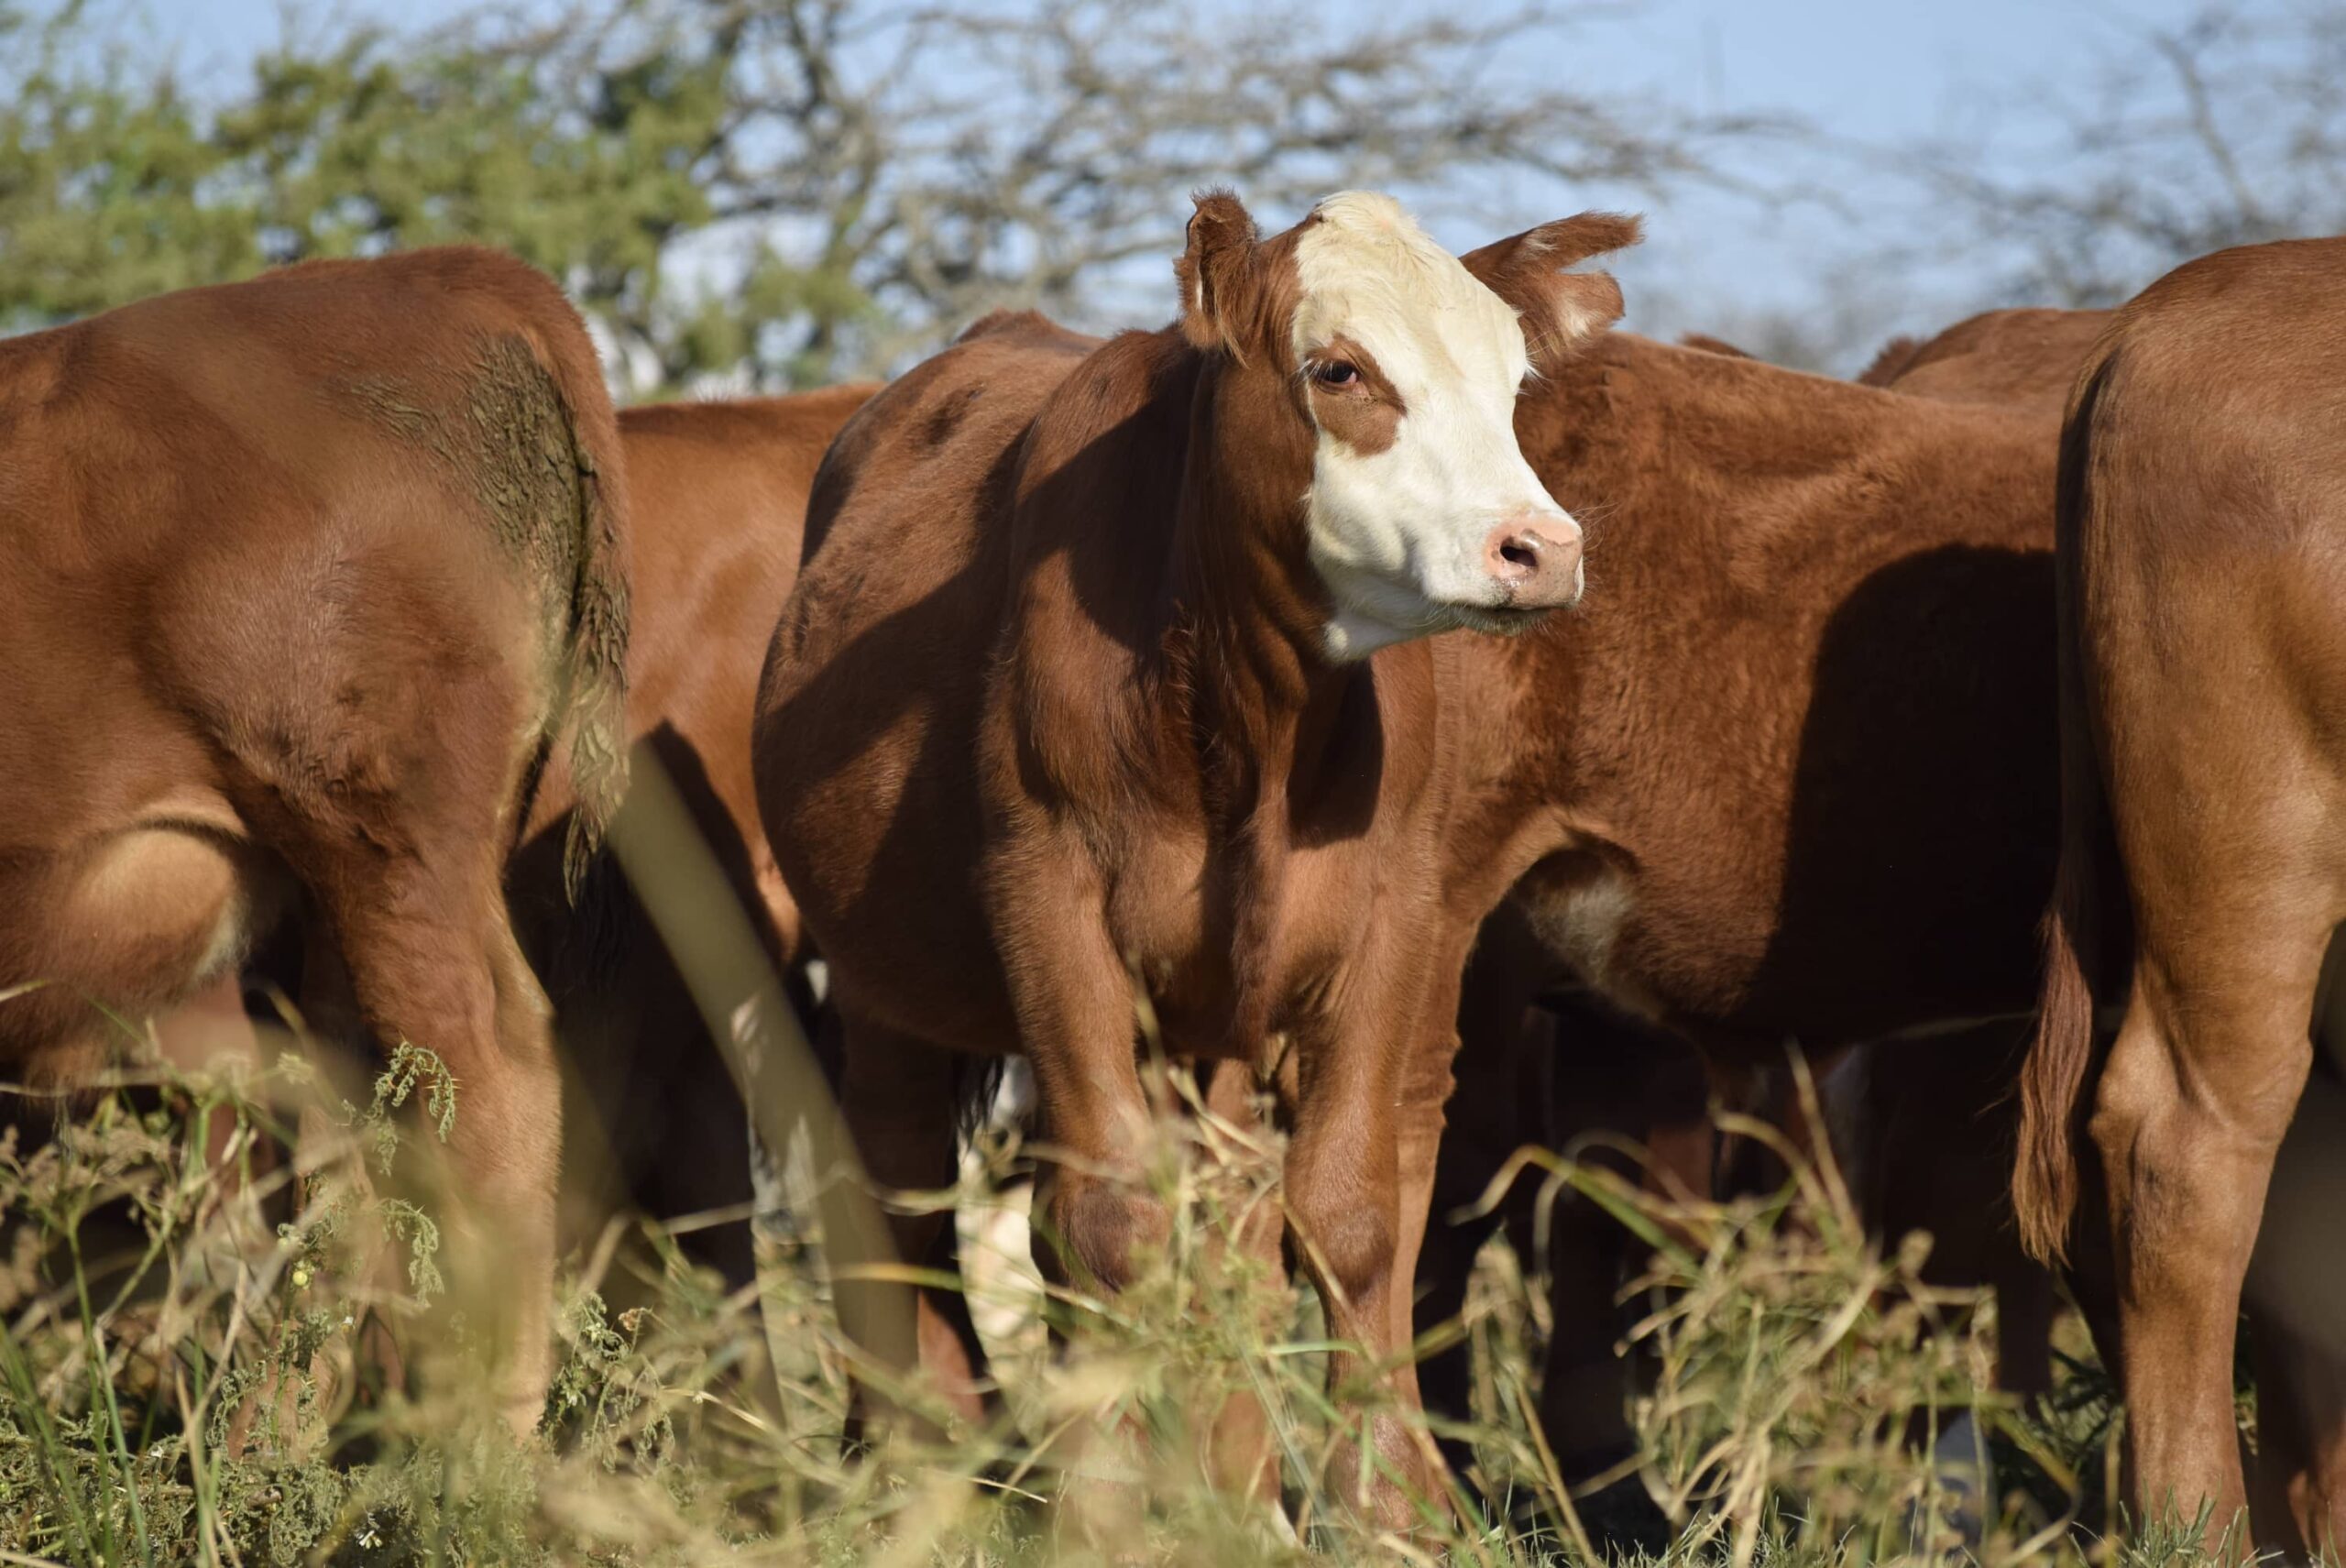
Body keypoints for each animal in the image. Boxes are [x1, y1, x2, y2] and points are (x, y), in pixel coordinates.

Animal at [753, 189, 1637, 1521]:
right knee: (901, 1183)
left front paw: (1379, 1506)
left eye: (1513, 379)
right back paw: (926, 1451)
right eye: (1339, 369)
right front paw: (1104, 1503)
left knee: (1216, 1216)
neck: (1254, 729)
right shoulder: (1050, 902)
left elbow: (1347, 1212)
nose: (1538, 546)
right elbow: (1109, 1217)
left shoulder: (1391, 920)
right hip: (883, 983)